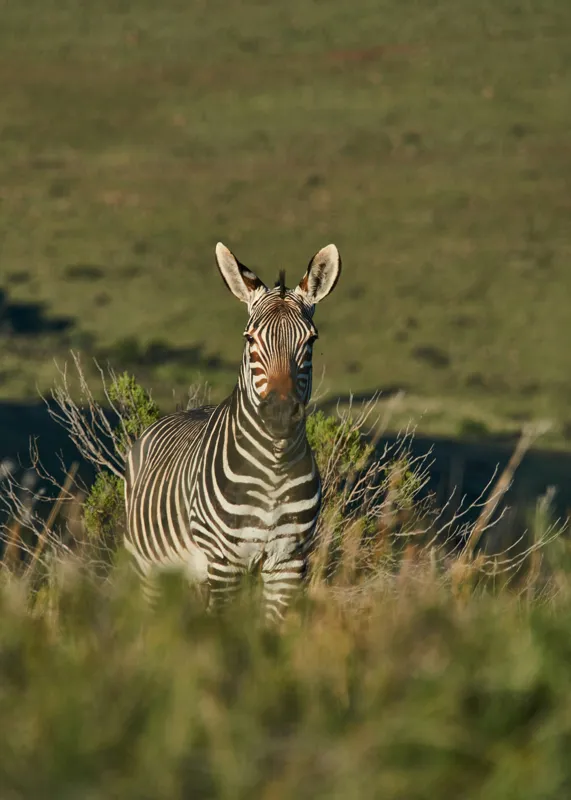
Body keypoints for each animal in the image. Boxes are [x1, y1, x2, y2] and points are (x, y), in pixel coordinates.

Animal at [124, 241, 341, 620]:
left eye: (311, 340)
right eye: (250, 339)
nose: (280, 413)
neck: (274, 468)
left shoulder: (289, 563)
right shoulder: (226, 562)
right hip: (149, 567)